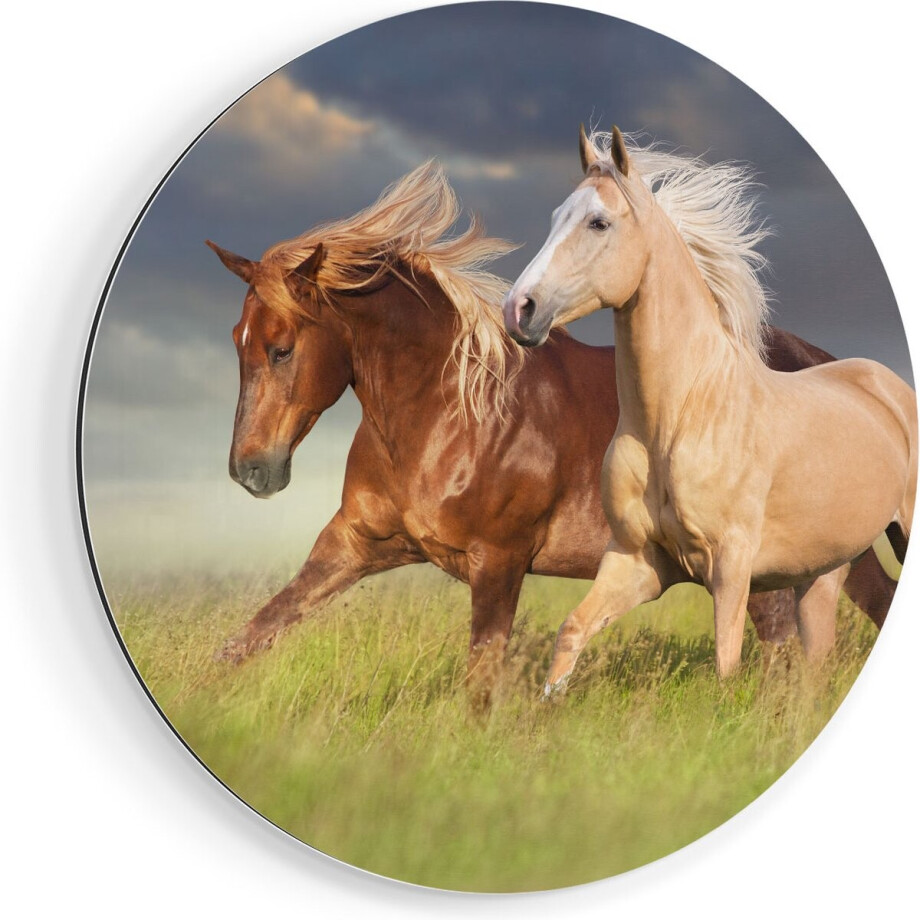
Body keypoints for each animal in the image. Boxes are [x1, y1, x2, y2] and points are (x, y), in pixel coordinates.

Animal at [206, 161, 896, 706]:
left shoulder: (499, 562)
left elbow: (481, 682)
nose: (251, 471)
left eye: (282, 349)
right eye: (238, 342)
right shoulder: (354, 544)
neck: (447, 414)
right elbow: (253, 635)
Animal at [502, 127, 916, 693]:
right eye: (553, 218)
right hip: (824, 570)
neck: (679, 420)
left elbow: (726, 662)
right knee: (818, 659)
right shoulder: (636, 560)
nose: (518, 310)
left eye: (598, 222)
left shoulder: (731, 565)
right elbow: (572, 633)